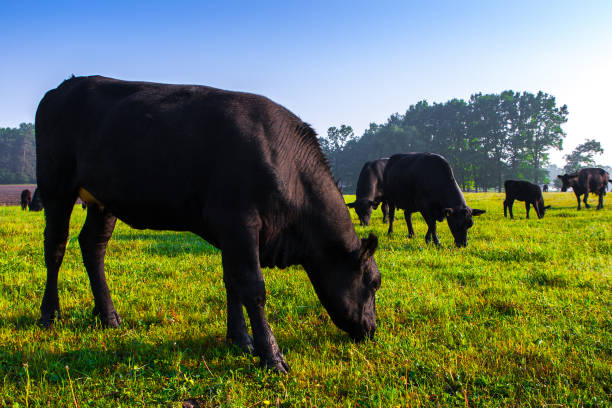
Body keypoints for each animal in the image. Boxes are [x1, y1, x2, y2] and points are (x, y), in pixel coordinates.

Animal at [35, 75, 380, 372]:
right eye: (374, 282)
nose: (373, 329)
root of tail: (64, 86)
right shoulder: (240, 222)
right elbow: (253, 287)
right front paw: (271, 356)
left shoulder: (231, 232)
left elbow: (232, 282)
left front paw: (240, 340)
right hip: (55, 186)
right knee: (55, 246)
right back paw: (49, 314)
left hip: (102, 200)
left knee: (93, 246)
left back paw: (107, 316)